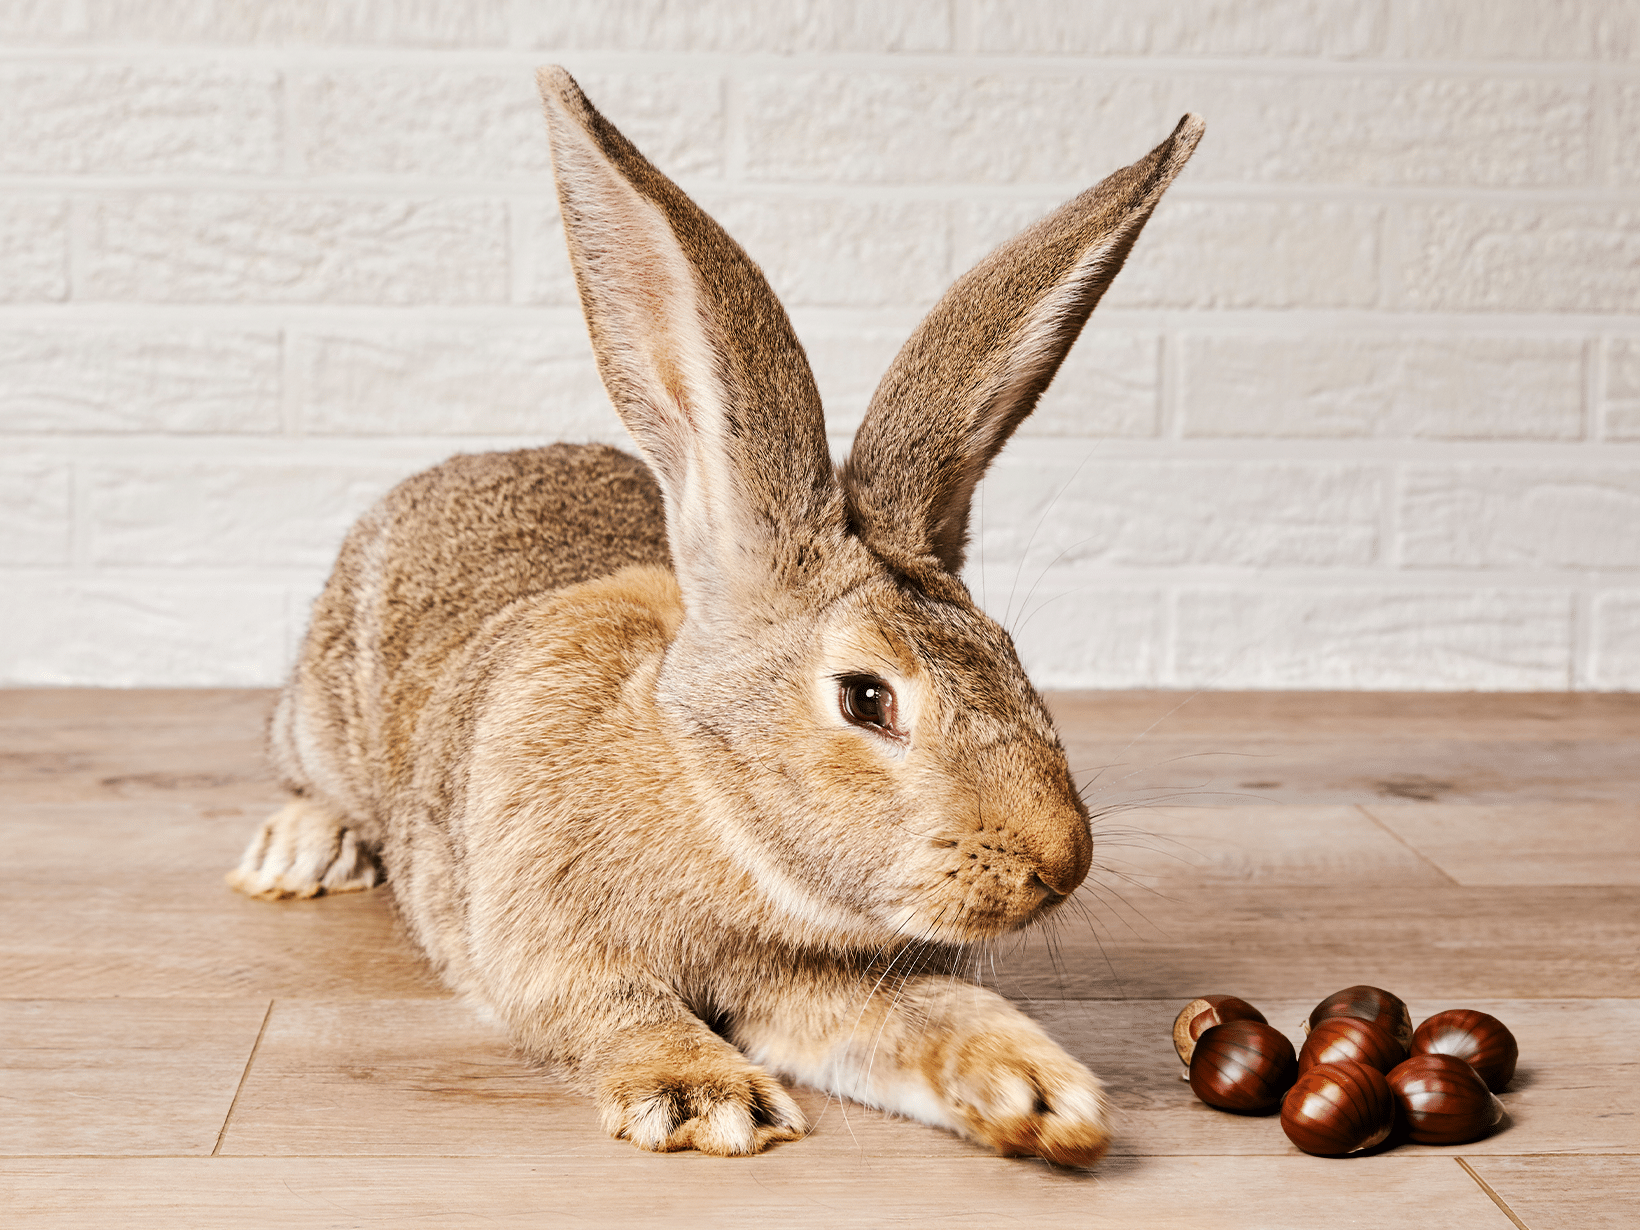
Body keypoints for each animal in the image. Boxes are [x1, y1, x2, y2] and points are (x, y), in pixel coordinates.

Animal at [227, 65, 1207, 1167]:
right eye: (865, 698)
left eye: (1009, 653)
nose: (1061, 860)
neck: (712, 807)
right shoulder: (547, 951)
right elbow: (614, 1012)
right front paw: (703, 1100)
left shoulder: (800, 980)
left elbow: (907, 1018)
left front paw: (1037, 1092)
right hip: (323, 714)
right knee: (306, 777)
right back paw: (297, 856)